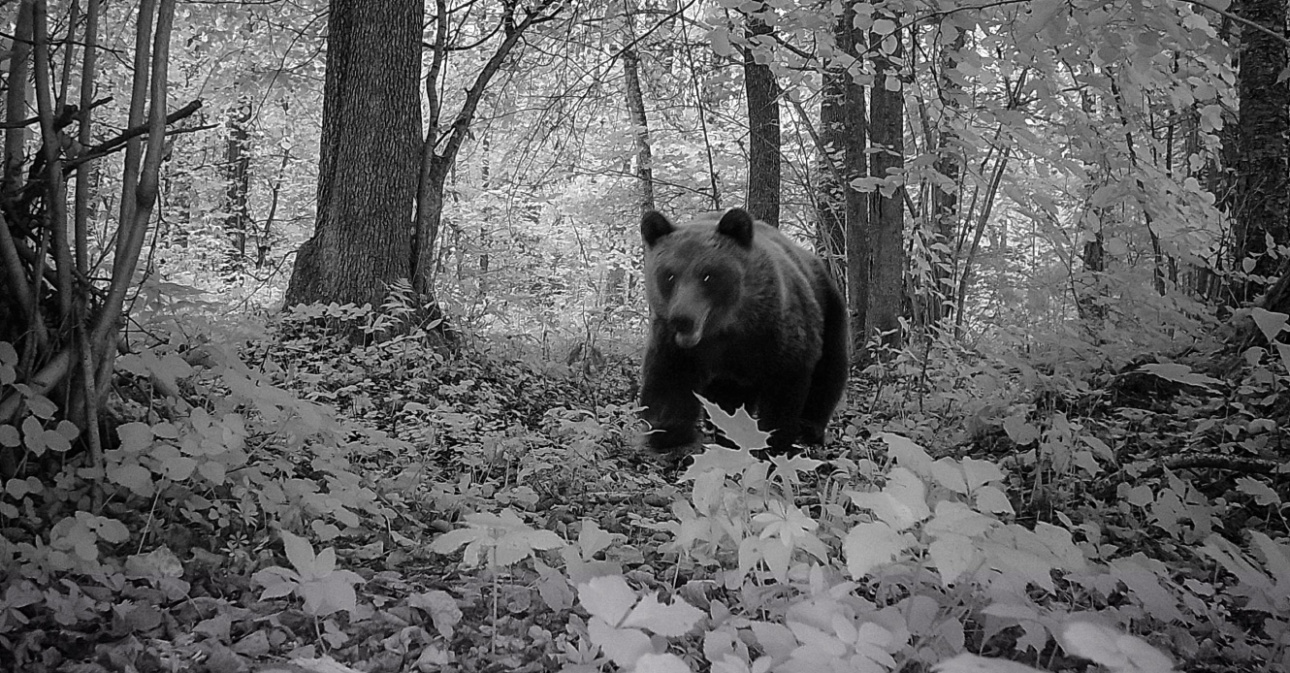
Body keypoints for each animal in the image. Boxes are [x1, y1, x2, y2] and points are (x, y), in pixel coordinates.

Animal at [634, 206, 846, 453]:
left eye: (707, 275)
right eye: (669, 275)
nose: (682, 318)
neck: (726, 330)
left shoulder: (777, 335)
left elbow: (785, 386)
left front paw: (774, 440)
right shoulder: (674, 343)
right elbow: (669, 381)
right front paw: (667, 431)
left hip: (829, 307)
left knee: (830, 367)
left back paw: (810, 428)